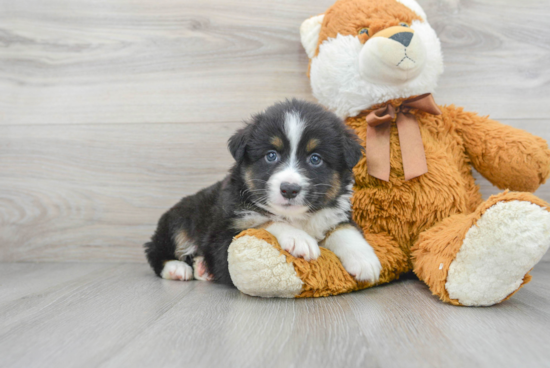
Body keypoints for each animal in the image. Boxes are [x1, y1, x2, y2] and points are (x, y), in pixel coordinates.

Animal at [146, 99, 384, 286]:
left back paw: (201, 268)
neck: (296, 217)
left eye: (315, 159)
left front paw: (364, 260)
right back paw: (177, 268)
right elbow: (265, 222)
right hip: (178, 220)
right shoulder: (222, 236)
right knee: (155, 250)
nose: (289, 189)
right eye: (271, 155)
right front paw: (299, 239)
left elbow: (344, 230)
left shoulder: (334, 214)